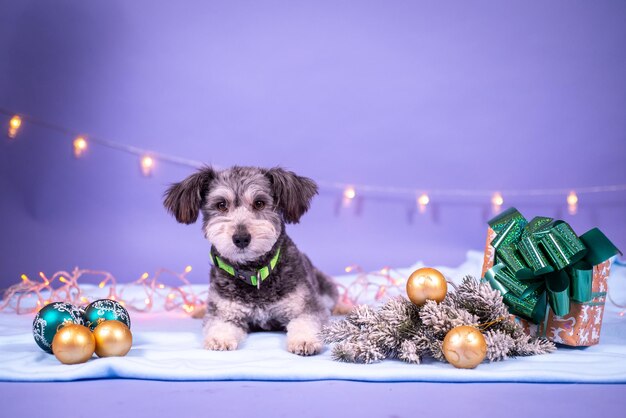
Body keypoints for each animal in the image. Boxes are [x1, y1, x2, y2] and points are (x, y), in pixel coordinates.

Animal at [161, 165, 336, 354]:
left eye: (259, 203)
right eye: (221, 204)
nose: (241, 238)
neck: (254, 274)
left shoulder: (306, 306)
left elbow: (306, 322)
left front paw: (304, 340)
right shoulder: (225, 312)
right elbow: (219, 325)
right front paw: (219, 339)